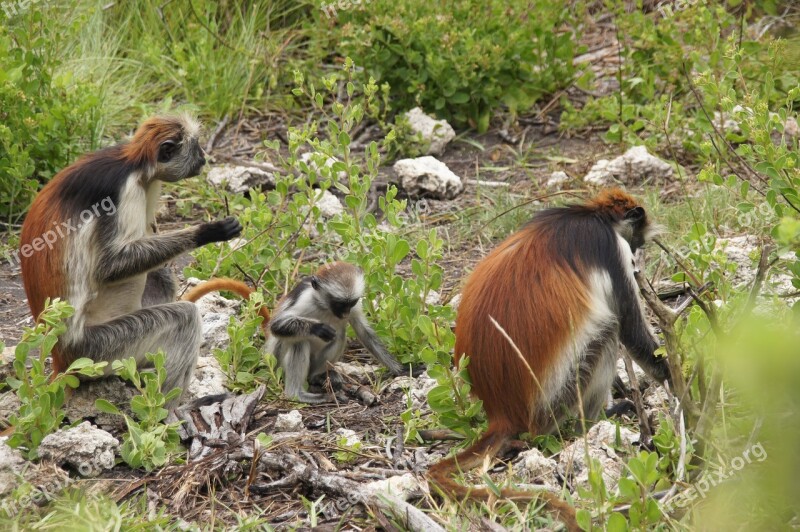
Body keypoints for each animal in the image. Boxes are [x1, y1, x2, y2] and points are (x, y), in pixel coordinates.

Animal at [20, 114, 241, 408]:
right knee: (184, 317)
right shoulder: (122, 192)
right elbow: (109, 268)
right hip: (97, 350)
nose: (204, 158)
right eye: (195, 147)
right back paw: (171, 411)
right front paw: (206, 232)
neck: (134, 164)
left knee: (161, 275)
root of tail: (60, 358)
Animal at [428, 187, 672, 528]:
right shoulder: (612, 249)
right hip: (554, 403)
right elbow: (633, 334)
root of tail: (501, 410)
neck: (591, 215)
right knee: (608, 331)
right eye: (635, 241)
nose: (638, 253)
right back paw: (593, 422)